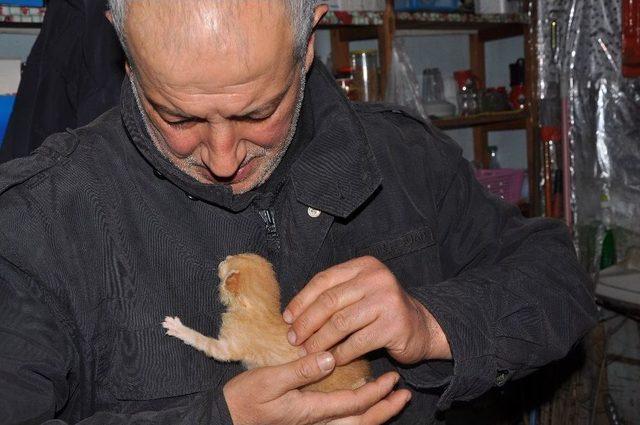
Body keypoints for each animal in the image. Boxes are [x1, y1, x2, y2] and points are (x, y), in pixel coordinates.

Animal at [161, 252, 370, 390]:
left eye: (227, 262)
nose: (223, 257)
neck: (258, 310)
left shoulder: (227, 348)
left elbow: (201, 341)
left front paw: (178, 328)